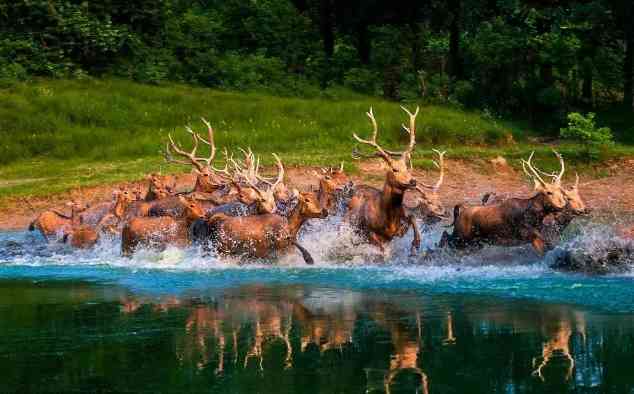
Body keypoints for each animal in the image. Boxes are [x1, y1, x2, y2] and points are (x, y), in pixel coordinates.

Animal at [344, 106, 422, 258]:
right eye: (394, 169)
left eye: (407, 167)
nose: (413, 181)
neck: (388, 220)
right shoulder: (369, 232)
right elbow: (381, 250)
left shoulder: (397, 231)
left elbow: (412, 216)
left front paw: (416, 242)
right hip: (346, 224)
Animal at [440, 151, 568, 255]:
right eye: (548, 192)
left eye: (561, 190)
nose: (562, 205)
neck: (536, 217)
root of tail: (459, 212)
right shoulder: (527, 234)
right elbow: (546, 247)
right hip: (461, 237)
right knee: (445, 237)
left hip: (475, 242)